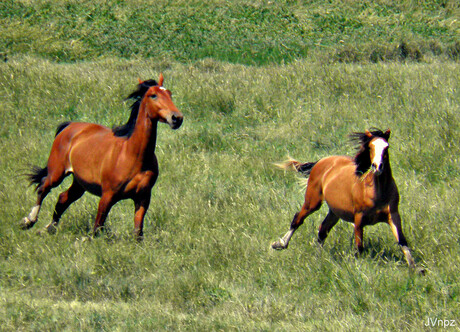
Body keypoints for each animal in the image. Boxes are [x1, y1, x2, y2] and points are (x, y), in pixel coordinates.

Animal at [21, 74, 183, 240]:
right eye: (153, 95)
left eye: (169, 94)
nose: (176, 118)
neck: (134, 156)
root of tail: (69, 126)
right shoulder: (107, 195)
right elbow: (97, 226)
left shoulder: (143, 198)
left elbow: (138, 232)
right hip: (57, 173)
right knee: (43, 188)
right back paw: (28, 221)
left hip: (79, 183)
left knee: (62, 198)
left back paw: (49, 228)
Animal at [274, 128, 420, 272]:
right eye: (370, 147)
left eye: (386, 147)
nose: (377, 166)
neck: (377, 191)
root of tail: (322, 161)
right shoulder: (359, 218)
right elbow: (359, 247)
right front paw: (358, 268)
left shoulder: (393, 216)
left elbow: (402, 241)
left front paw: (416, 268)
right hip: (313, 202)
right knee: (298, 219)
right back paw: (280, 244)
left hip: (335, 211)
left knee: (322, 230)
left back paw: (318, 257)